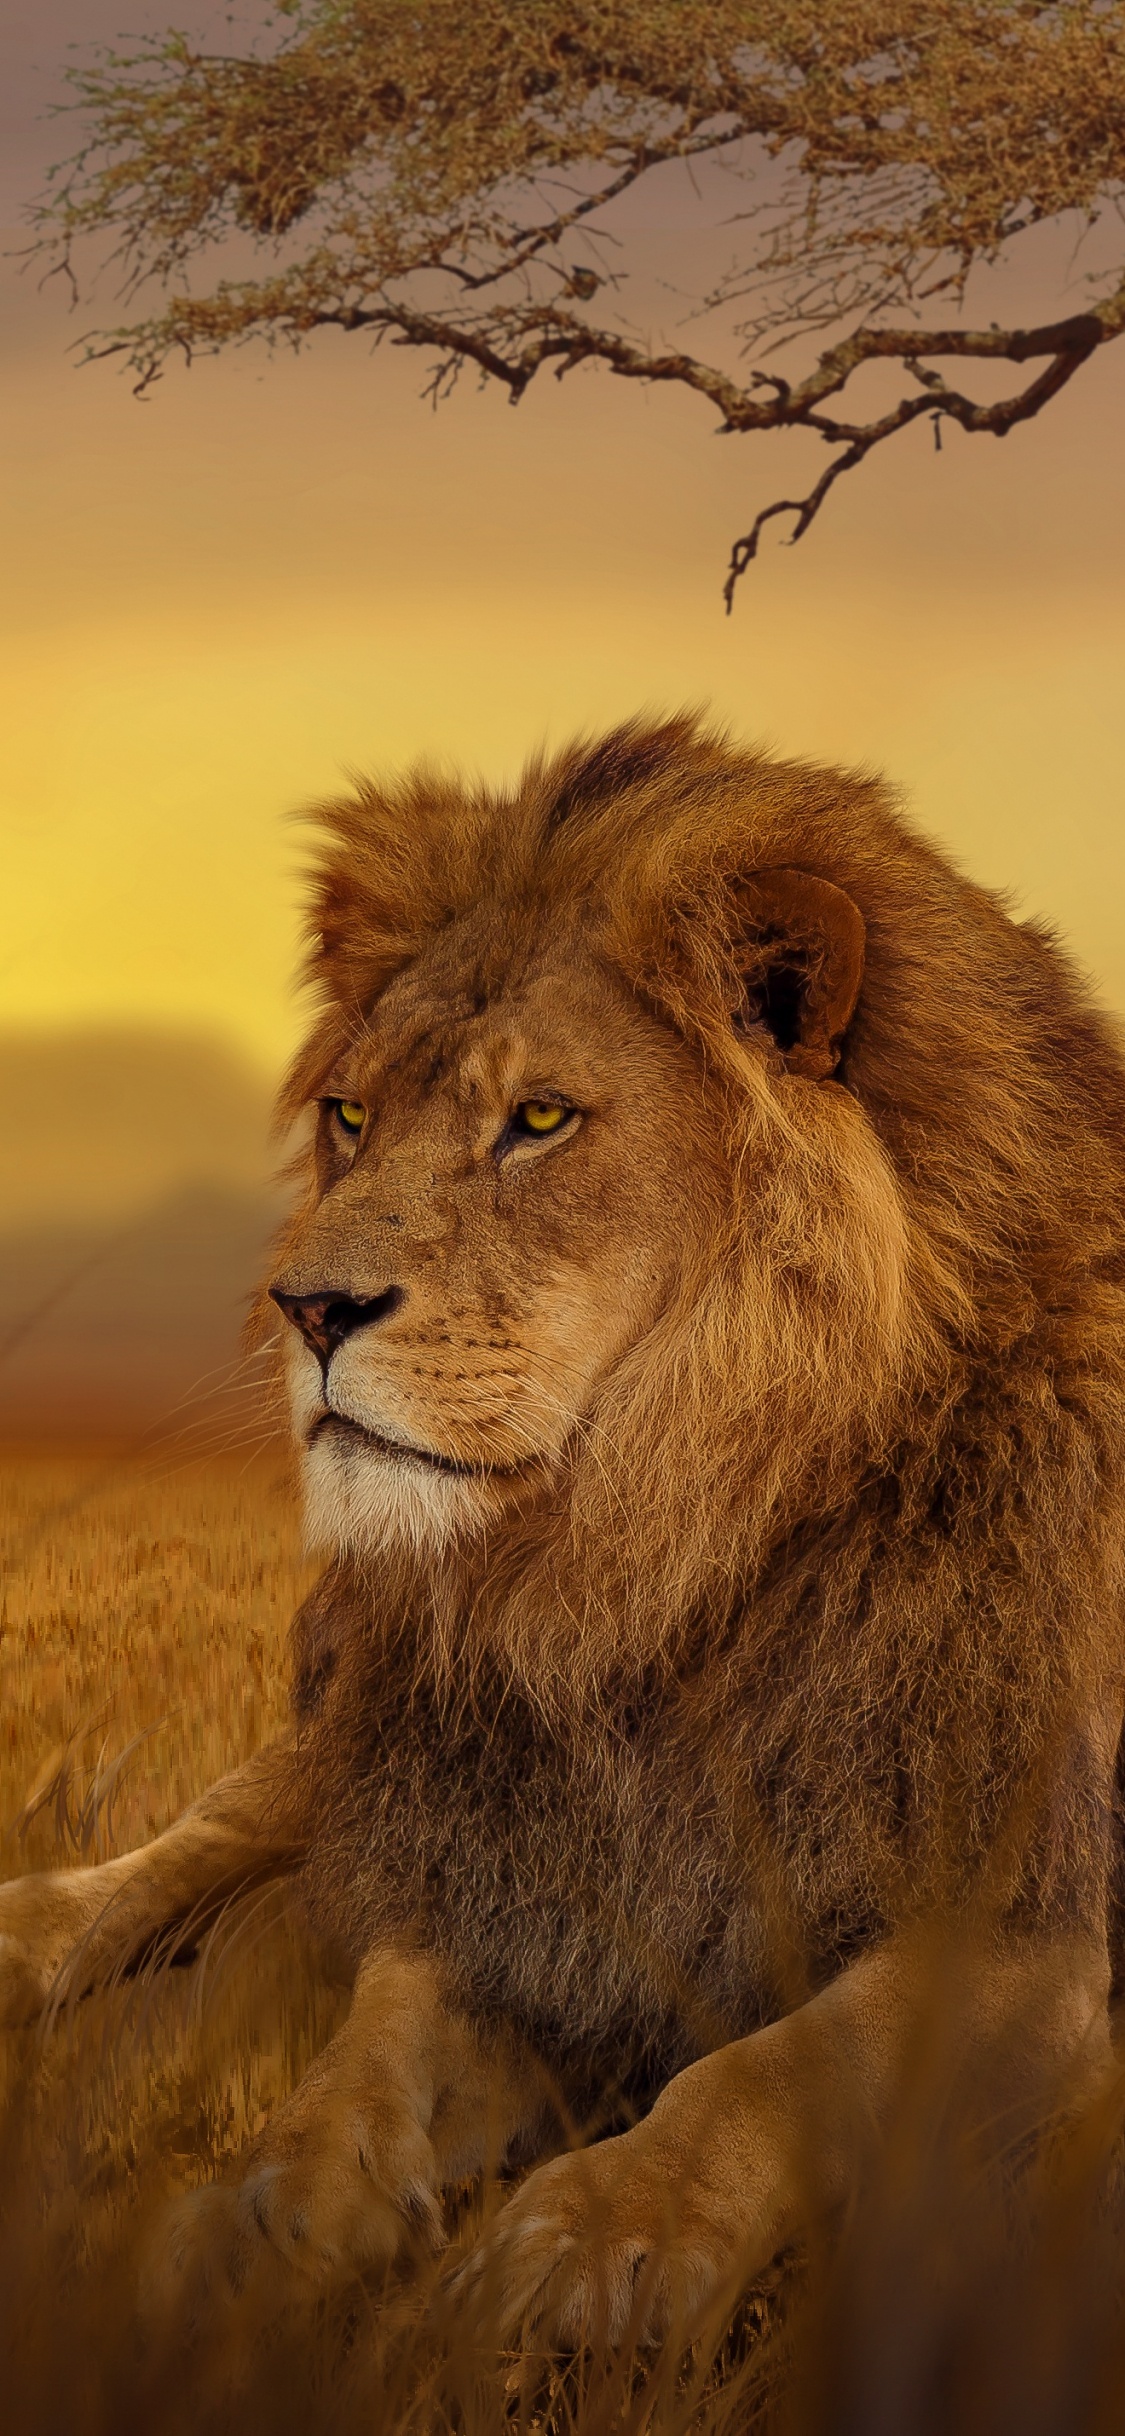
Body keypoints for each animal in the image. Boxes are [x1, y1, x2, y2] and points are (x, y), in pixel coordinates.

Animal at [2, 711, 1125, 2349]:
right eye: (351, 1117)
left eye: (537, 1120)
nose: (307, 1309)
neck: (654, 1564)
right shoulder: (496, 1854)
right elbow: (370, 2044)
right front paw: (261, 2214)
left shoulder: (1038, 1915)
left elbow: (780, 2063)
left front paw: (598, 2235)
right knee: (195, 1845)